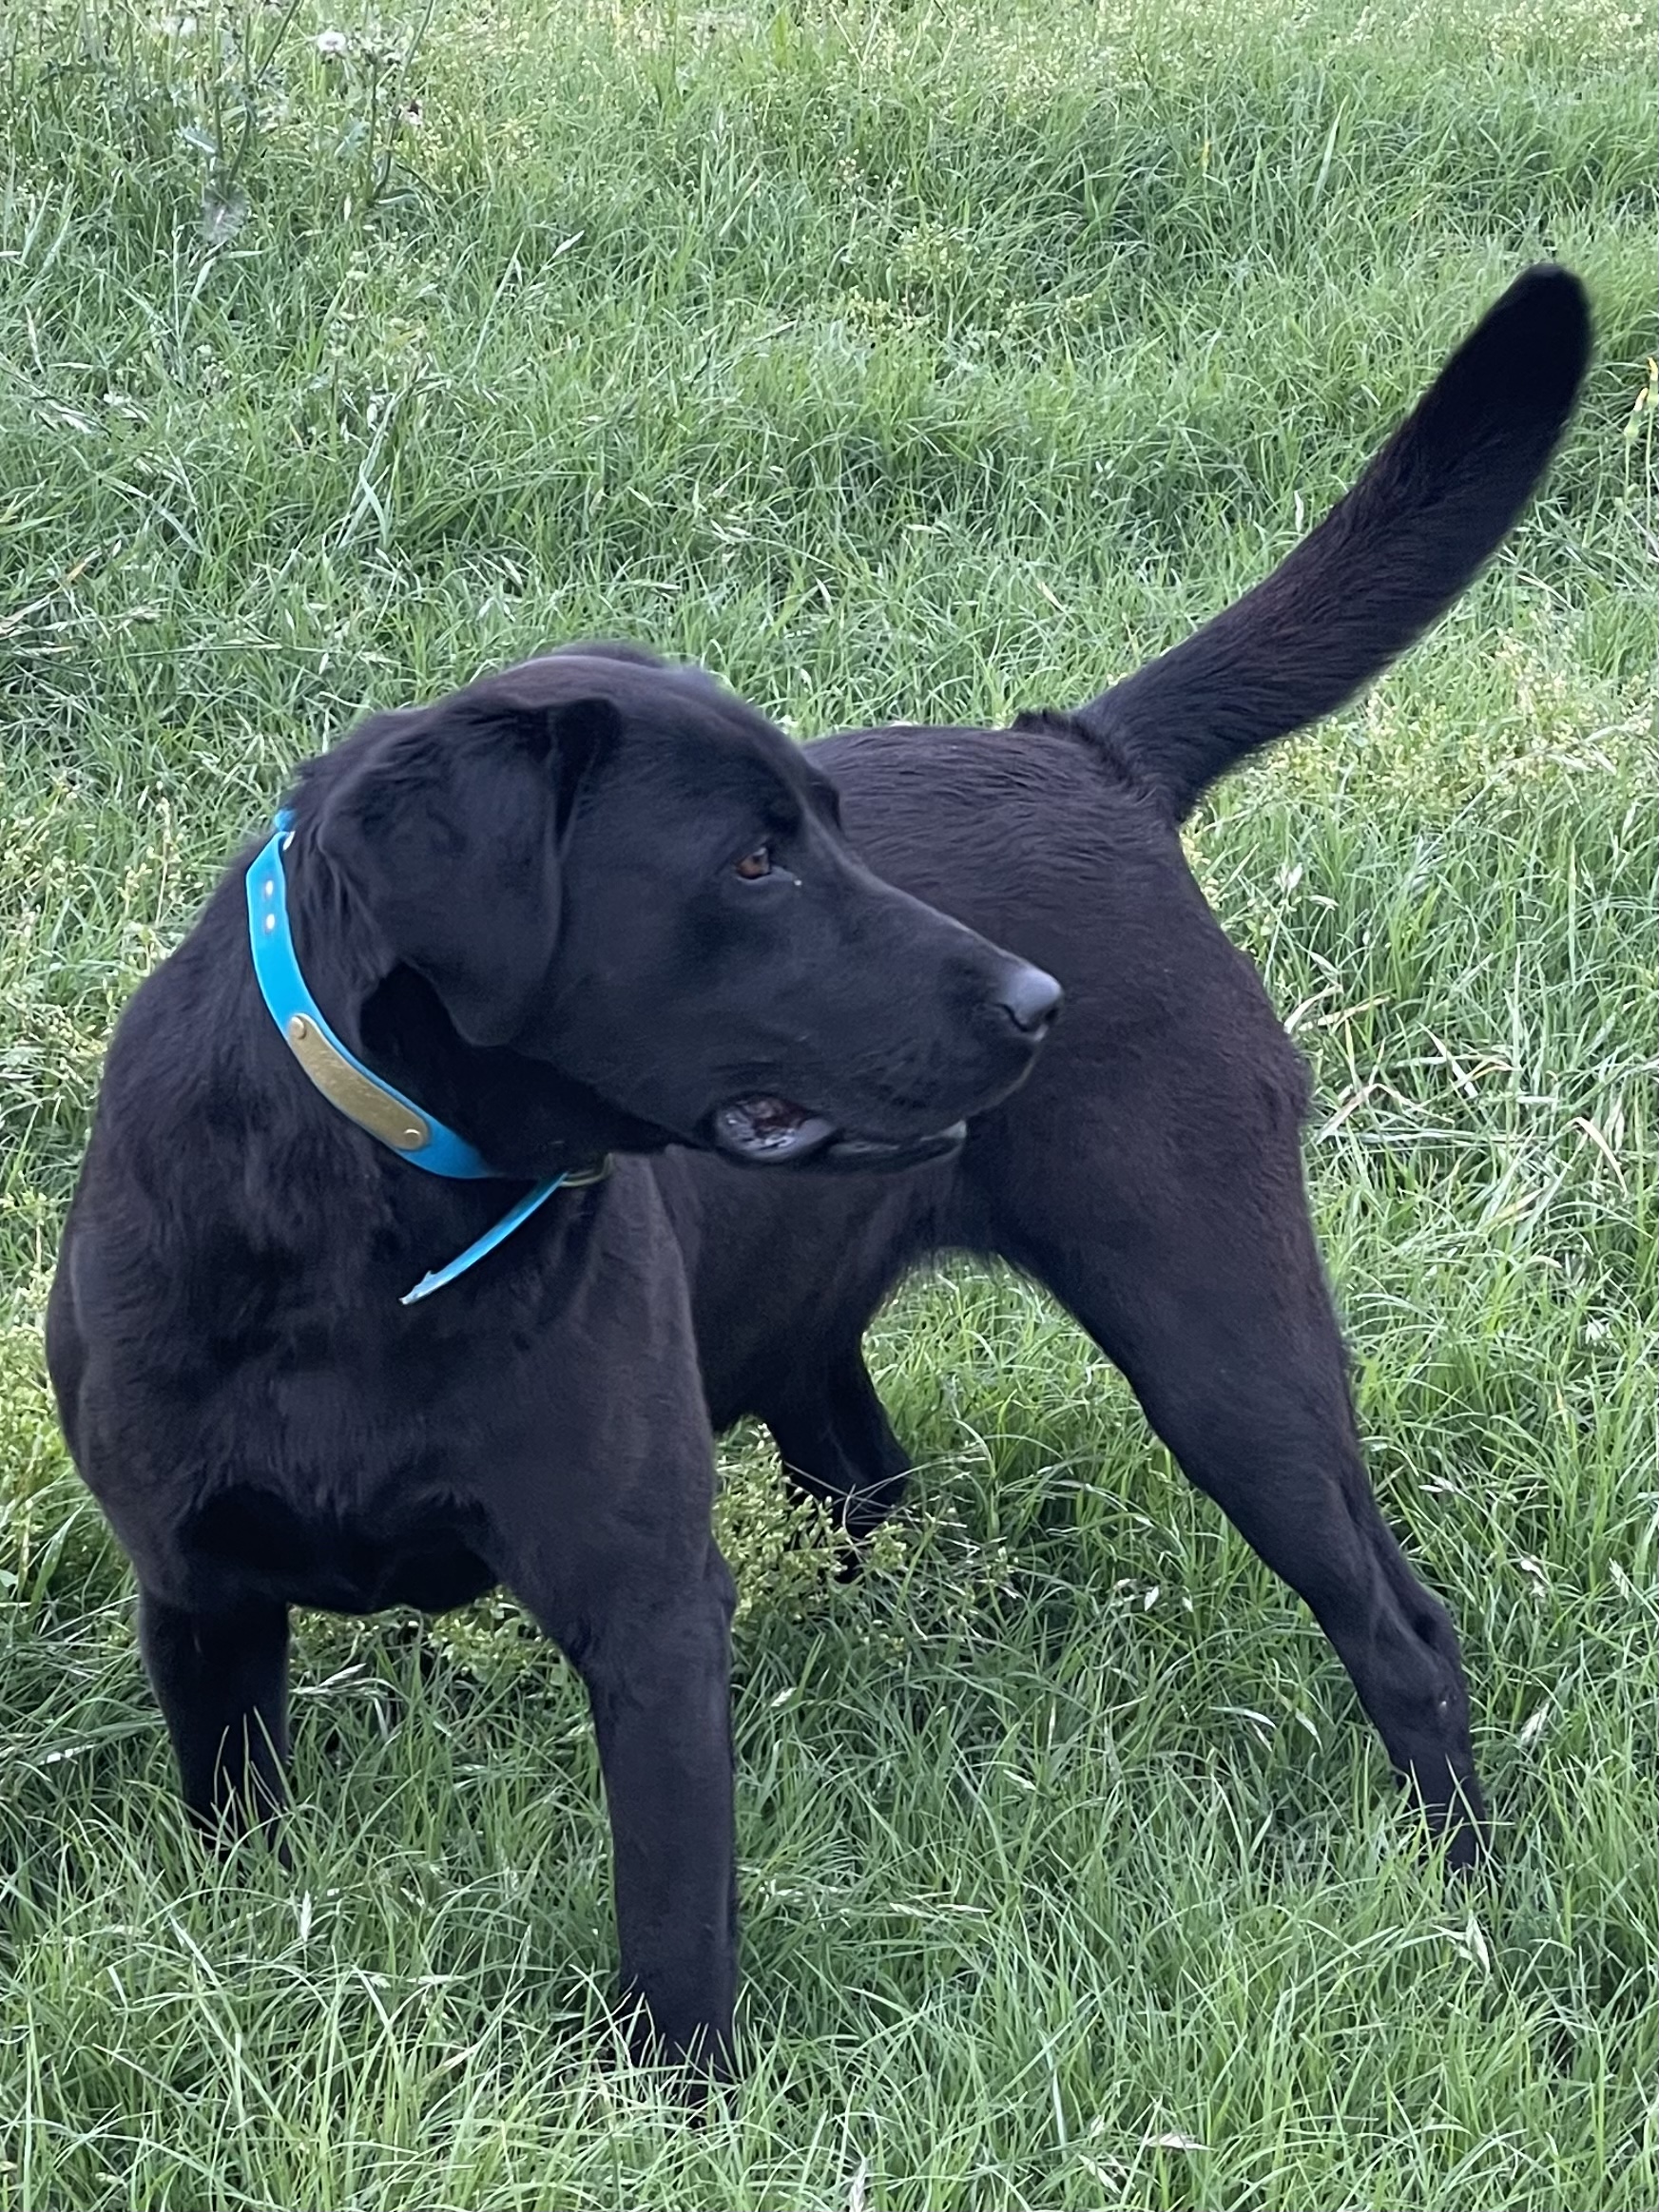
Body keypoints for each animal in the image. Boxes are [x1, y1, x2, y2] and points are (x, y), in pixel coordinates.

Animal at [48, 645, 1066, 2061]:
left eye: (829, 829)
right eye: (753, 862)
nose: (1039, 1000)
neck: (369, 1211)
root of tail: (1091, 751)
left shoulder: (648, 1607)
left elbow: (675, 1910)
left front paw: (683, 2093)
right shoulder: (198, 1588)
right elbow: (234, 1826)